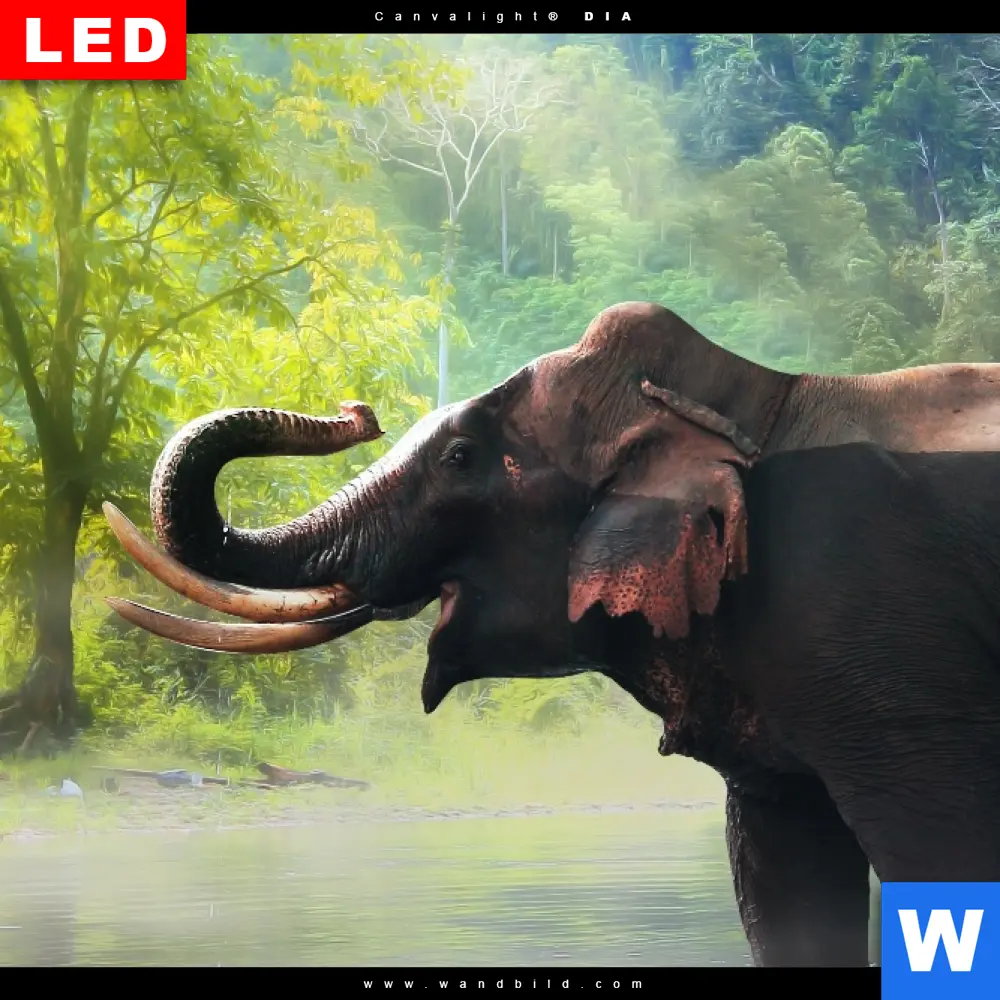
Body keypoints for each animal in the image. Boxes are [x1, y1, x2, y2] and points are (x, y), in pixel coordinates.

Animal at [102, 301, 1000, 966]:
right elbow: (784, 881)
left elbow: (936, 854)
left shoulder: (884, 646)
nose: (358, 411)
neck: (759, 401)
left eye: (461, 456)